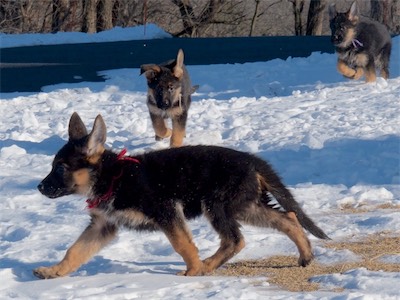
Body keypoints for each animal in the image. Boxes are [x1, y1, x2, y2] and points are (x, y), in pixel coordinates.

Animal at [33, 112, 328, 278]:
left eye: (60, 168)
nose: (40, 187)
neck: (112, 176)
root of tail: (253, 162)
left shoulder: (167, 211)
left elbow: (182, 244)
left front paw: (194, 269)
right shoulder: (103, 225)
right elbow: (75, 250)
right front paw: (55, 271)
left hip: (216, 204)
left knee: (235, 240)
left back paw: (206, 266)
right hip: (245, 206)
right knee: (288, 218)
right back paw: (305, 255)